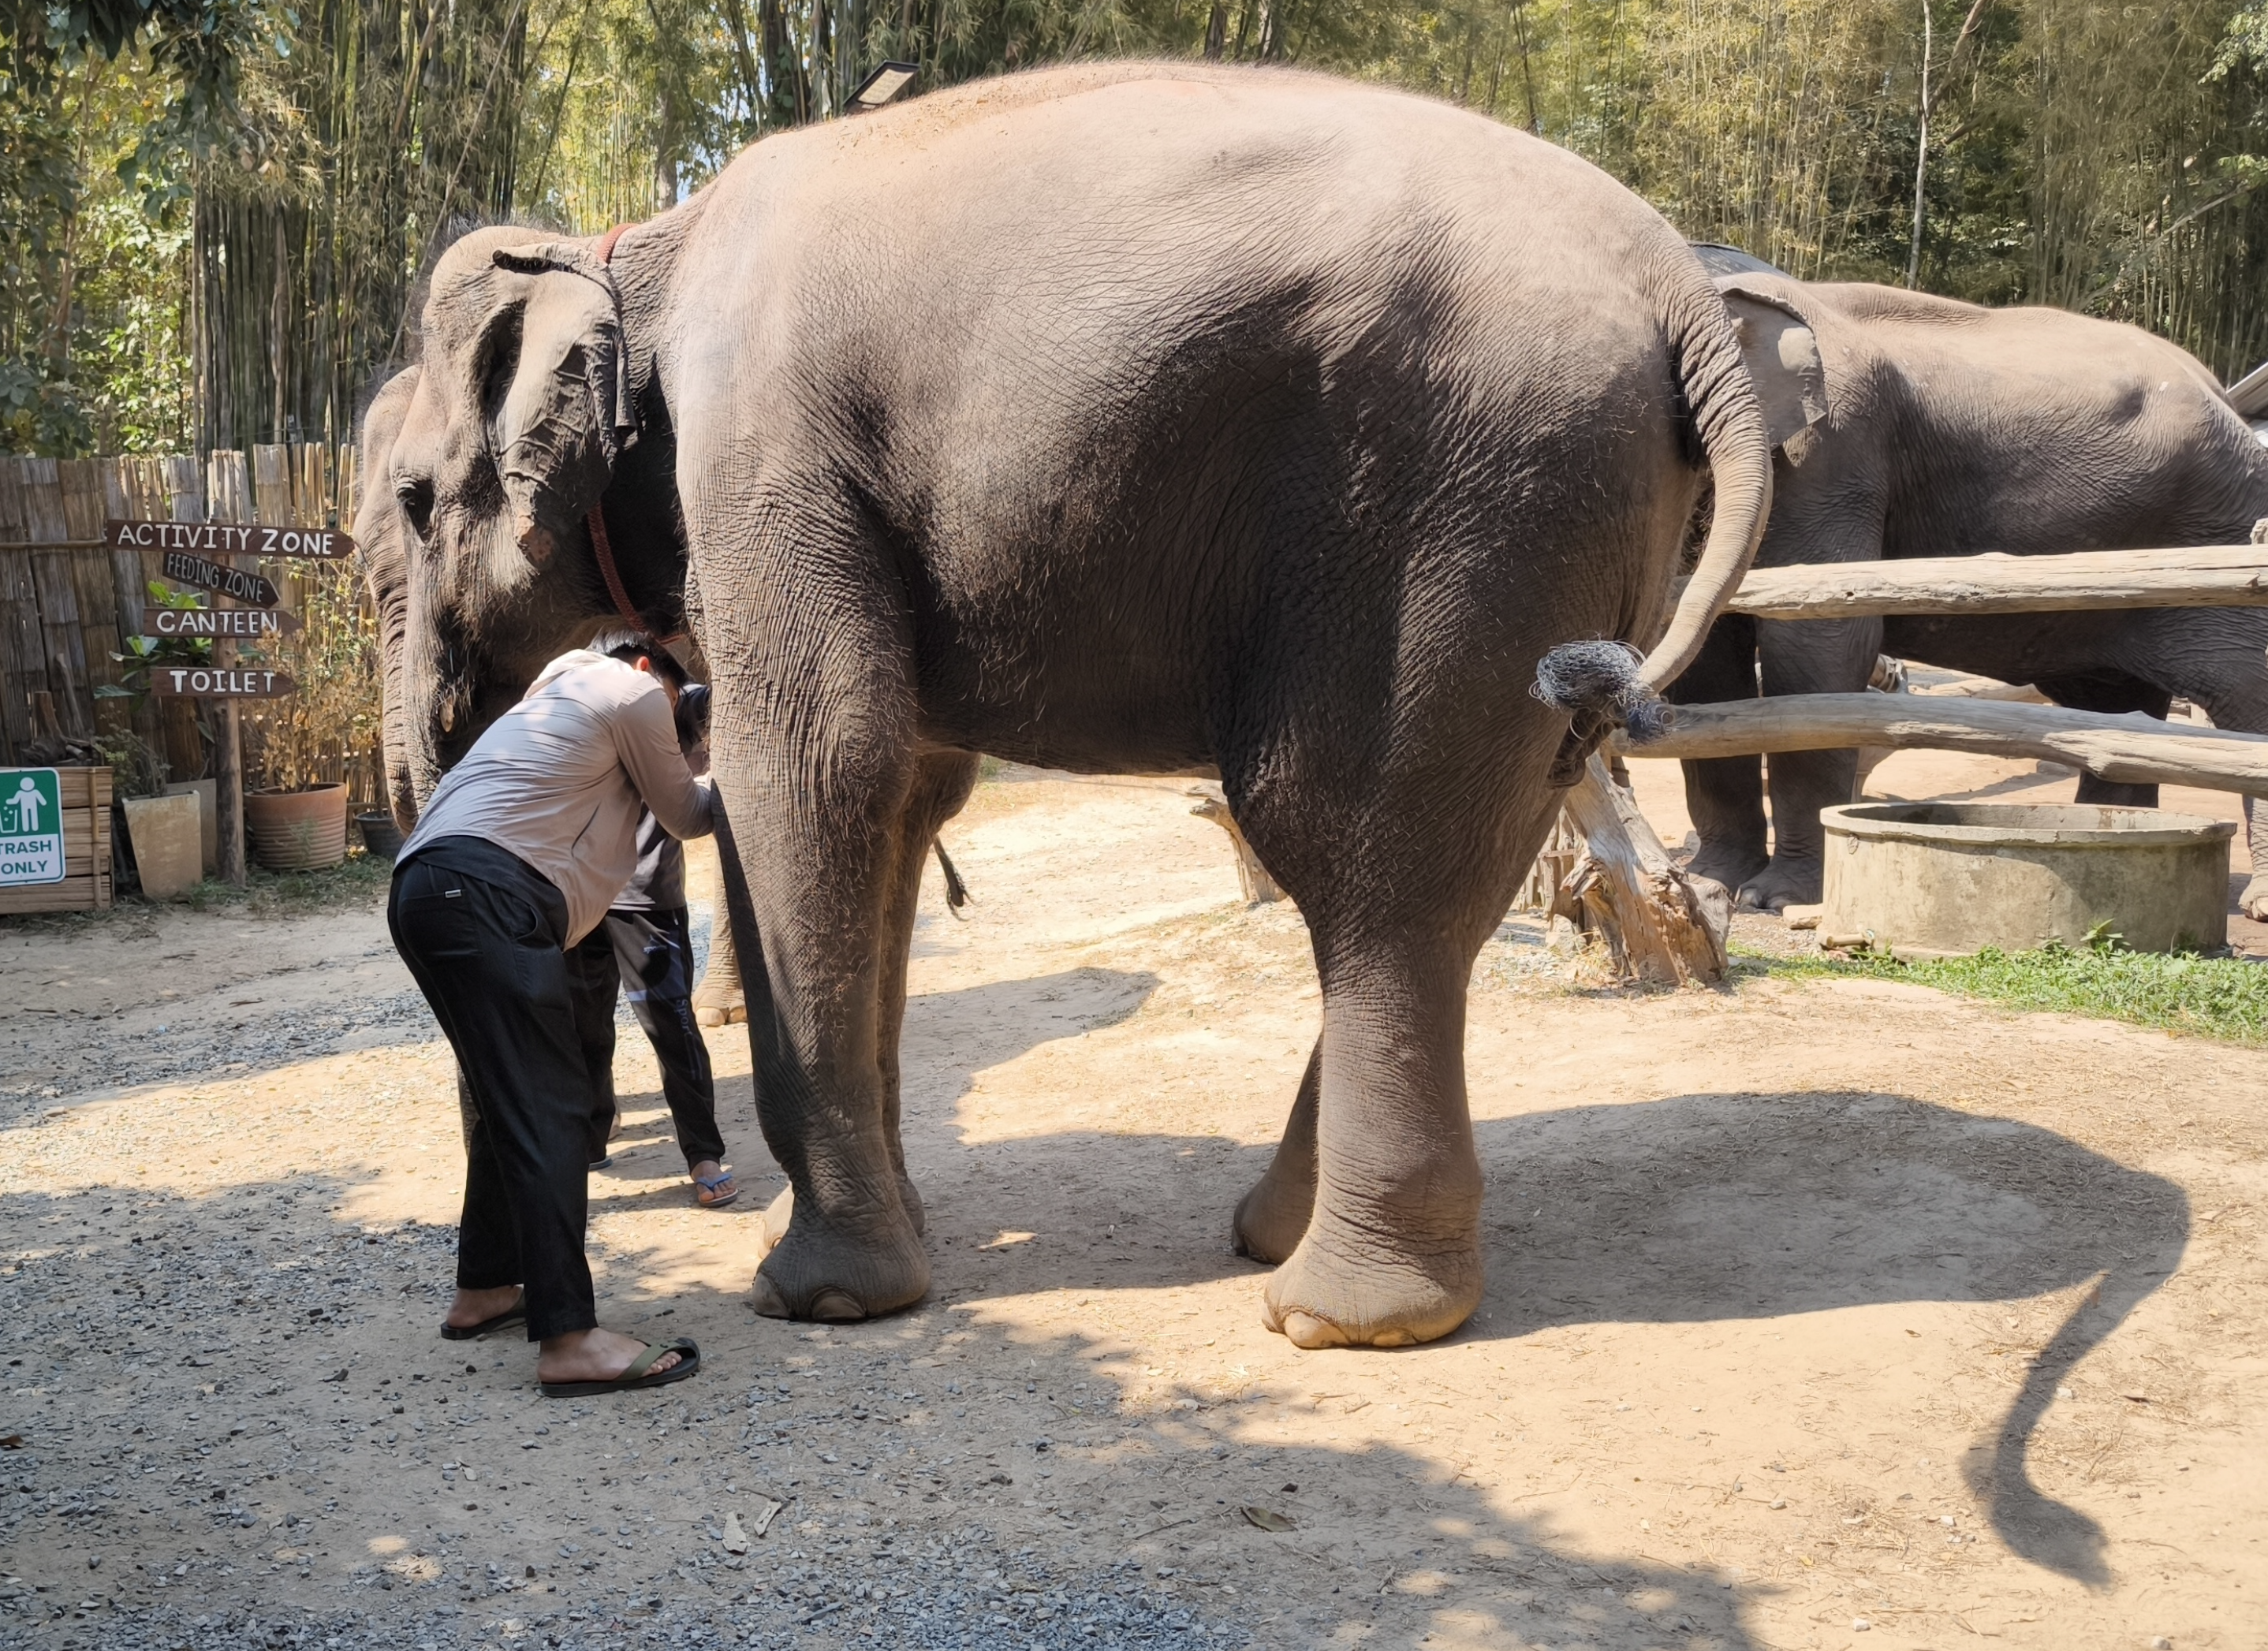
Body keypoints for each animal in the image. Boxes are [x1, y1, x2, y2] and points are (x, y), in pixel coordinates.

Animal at [372, 62, 1827, 1350]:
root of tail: (1679, 286)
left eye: (413, 502)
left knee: (1361, 852)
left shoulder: (767, 460)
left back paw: (1338, 1314)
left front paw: (820, 1299)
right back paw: (1275, 1237)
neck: (636, 242)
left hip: (1468, 510)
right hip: (1567, 534)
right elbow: (902, 793)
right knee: (1468, 843)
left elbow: (812, 767)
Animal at [1678, 244, 2268, 914]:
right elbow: (1706, 647)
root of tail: (2223, 392)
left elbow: (1819, 639)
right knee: (2115, 703)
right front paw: (1711, 880)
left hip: (2223, 533)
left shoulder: (1835, 452)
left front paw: (1776, 899)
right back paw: (2117, 835)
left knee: (2243, 692)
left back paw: (2255, 898)